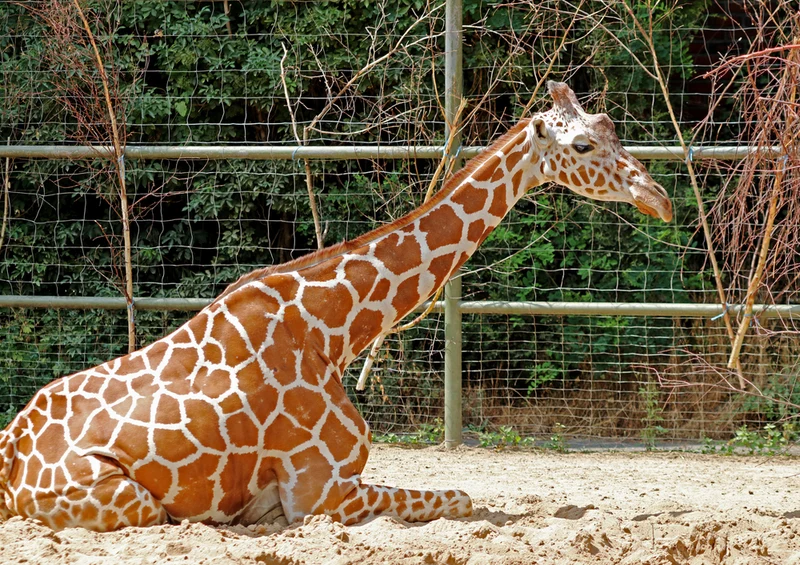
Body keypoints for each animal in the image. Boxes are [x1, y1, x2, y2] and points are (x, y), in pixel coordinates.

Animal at [0, 82, 672, 532]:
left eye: (611, 127)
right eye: (581, 144)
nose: (660, 198)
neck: (333, 333)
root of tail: (8, 462)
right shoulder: (320, 494)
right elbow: (458, 499)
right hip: (132, 500)